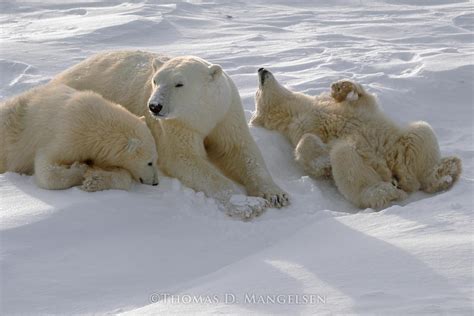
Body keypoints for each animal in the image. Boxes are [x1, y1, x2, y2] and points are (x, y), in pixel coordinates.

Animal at [0, 84, 160, 191]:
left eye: (155, 161)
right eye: (149, 162)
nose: (155, 182)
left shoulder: (100, 151)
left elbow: (122, 174)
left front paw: (94, 180)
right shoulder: (66, 133)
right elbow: (47, 169)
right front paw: (81, 168)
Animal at [51, 51, 288, 220]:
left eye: (179, 83)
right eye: (155, 81)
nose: (154, 106)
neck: (202, 114)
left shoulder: (226, 110)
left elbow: (240, 150)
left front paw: (276, 195)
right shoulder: (176, 124)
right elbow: (184, 158)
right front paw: (247, 205)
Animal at [254, 68, 462, 209]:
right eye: (257, 92)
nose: (260, 69)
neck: (298, 108)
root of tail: (396, 172)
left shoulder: (336, 107)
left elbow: (362, 98)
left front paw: (339, 88)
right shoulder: (299, 127)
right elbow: (307, 142)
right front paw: (323, 163)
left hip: (401, 144)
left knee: (421, 133)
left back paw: (444, 173)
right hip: (377, 164)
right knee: (345, 156)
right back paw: (386, 192)